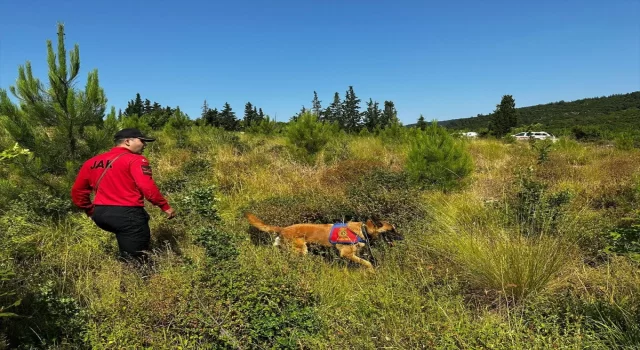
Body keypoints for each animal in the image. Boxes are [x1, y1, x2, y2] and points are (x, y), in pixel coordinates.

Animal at [242, 211, 402, 270]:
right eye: (392, 230)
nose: (402, 237)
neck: (363, 230)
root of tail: (283, 229)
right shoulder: (346, 254)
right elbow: (367, 263)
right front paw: (371, 272)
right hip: (301, 250)